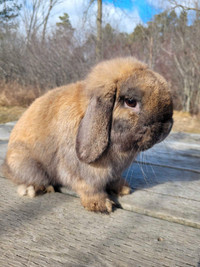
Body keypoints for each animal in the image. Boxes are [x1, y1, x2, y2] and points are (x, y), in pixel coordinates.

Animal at [1, 58, 173, 214]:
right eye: (131, 101)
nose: (167, 125)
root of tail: (6, 164)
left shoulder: (114, 173)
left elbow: (115, 180)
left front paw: (123, 189)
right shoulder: (83, 173)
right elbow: (89, 187)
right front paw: (100, 205)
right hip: (27, 164)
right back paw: (34, 188)